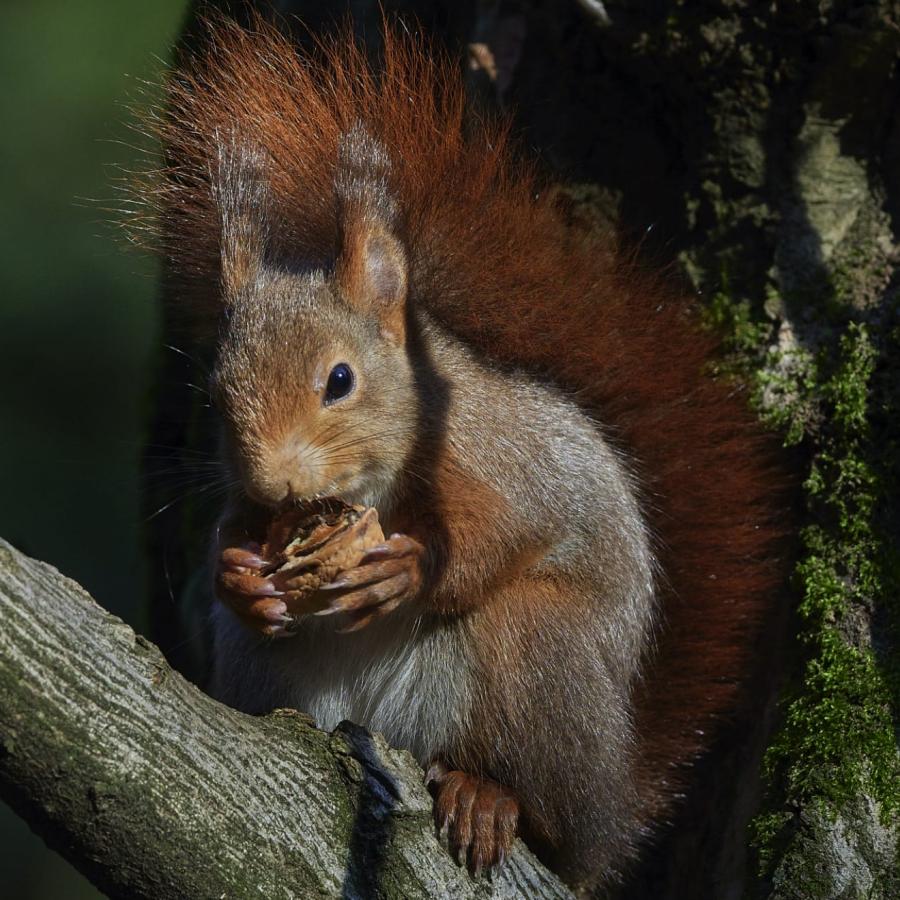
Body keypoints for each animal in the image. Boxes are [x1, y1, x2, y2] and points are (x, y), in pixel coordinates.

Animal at [135, 13, 787, 894]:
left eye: (339, 379)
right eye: (213, 392)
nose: (278, 482)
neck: (373, 486)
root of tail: (611, 810)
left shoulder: (497, 462)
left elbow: (509, 530)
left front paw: (407, 569)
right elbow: (230, 540)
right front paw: (240, 575)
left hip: (536, 653)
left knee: (546, 805)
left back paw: (492, 797)